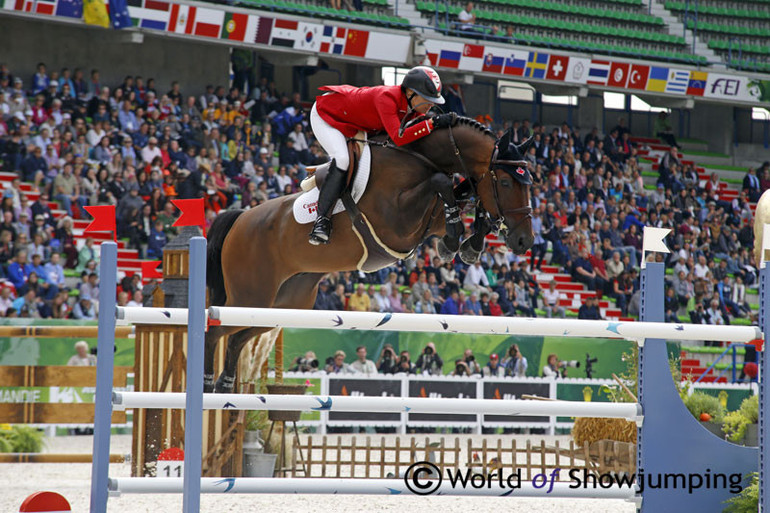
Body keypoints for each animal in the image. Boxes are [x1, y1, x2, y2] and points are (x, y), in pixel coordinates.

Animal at [204, 119, 536, 392]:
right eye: (505, 182)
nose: (524, 241)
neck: (421, 158)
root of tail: (240, 218)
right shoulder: (397, 223)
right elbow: (444, 184)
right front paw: (455, 241)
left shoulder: (432, 220)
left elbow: (468, 197)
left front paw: (468, 245)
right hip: (250, 295)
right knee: (214, 330)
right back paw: (208, 384)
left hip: (279, 307)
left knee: (236, 338)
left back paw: (225, 383)